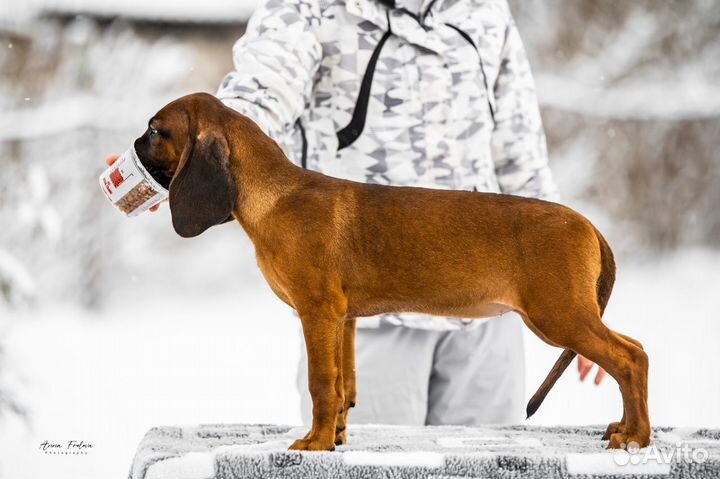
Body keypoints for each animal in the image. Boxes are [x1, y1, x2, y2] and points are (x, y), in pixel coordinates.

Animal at [134, 94, 652, 454]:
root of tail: (587, 223)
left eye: (156, 130)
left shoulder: (317, 312)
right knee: (636, 348)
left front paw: (315, 444)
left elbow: (322, 384)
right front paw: (336, 438)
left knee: (629, 358)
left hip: (558, 315)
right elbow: (343, 386)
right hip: (569, 314)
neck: (276, 194)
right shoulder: (343, 319)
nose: (133, 148)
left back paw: (637, 438)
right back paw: (625, 428)